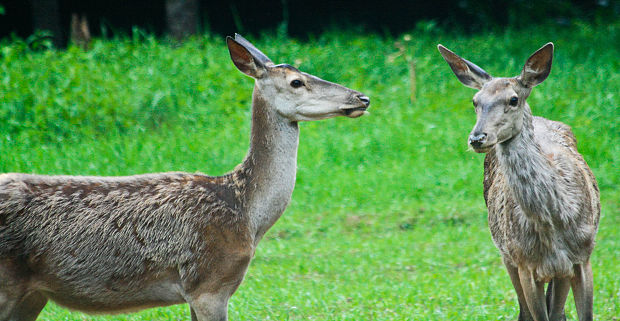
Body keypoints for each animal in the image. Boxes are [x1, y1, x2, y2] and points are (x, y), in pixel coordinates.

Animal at [436, 43, 600, 320]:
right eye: (475, 101)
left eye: (513, 99)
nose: (477, 138)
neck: (553, 222)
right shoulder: (524, 262)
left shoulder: (582, 256)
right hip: (506, 254)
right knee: (525, 311)